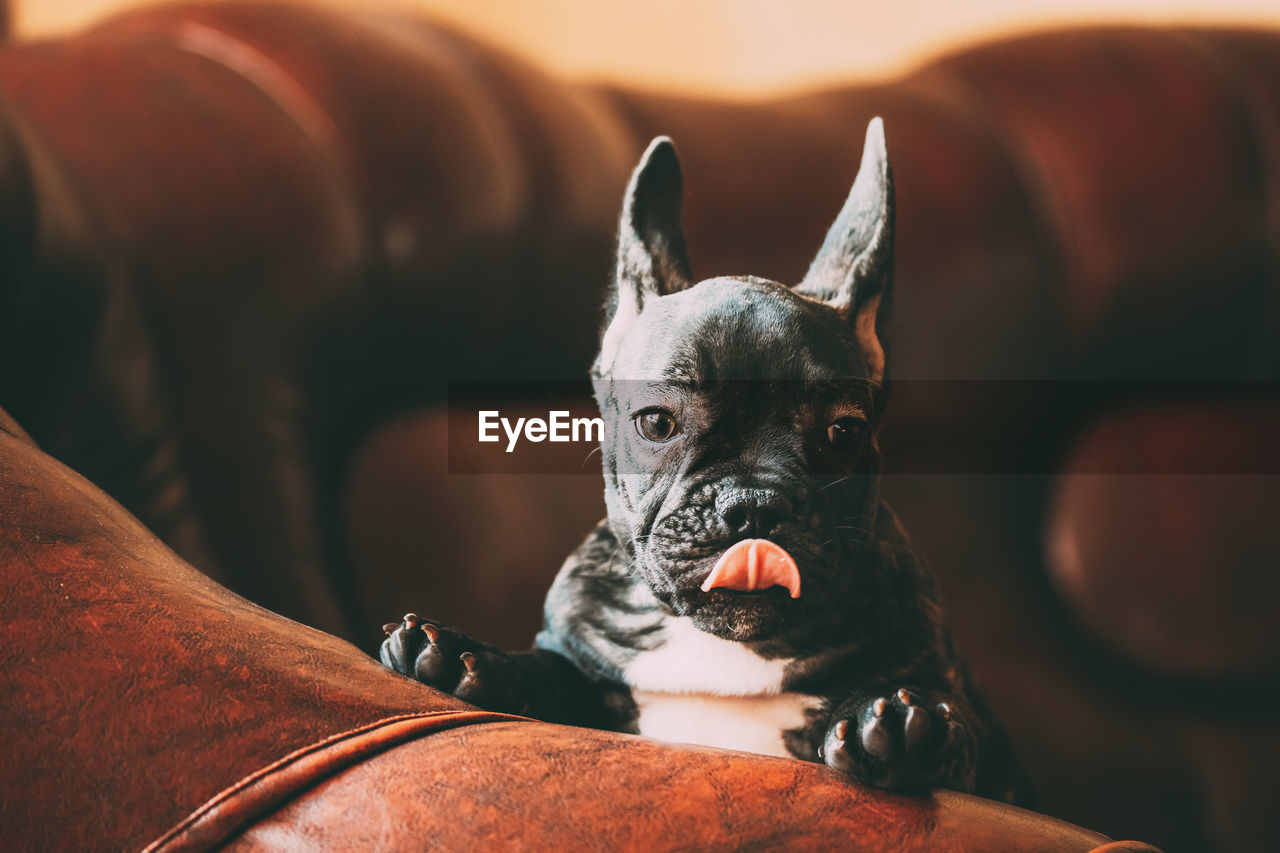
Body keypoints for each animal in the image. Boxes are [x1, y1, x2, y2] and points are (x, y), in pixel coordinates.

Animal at [376, 119, 1018, 799]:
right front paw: (463, 657)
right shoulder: (575, 659)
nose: (754, 504)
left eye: (844, 432)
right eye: (657, 423)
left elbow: (946, 718)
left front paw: (897, 723)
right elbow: (549, 671)